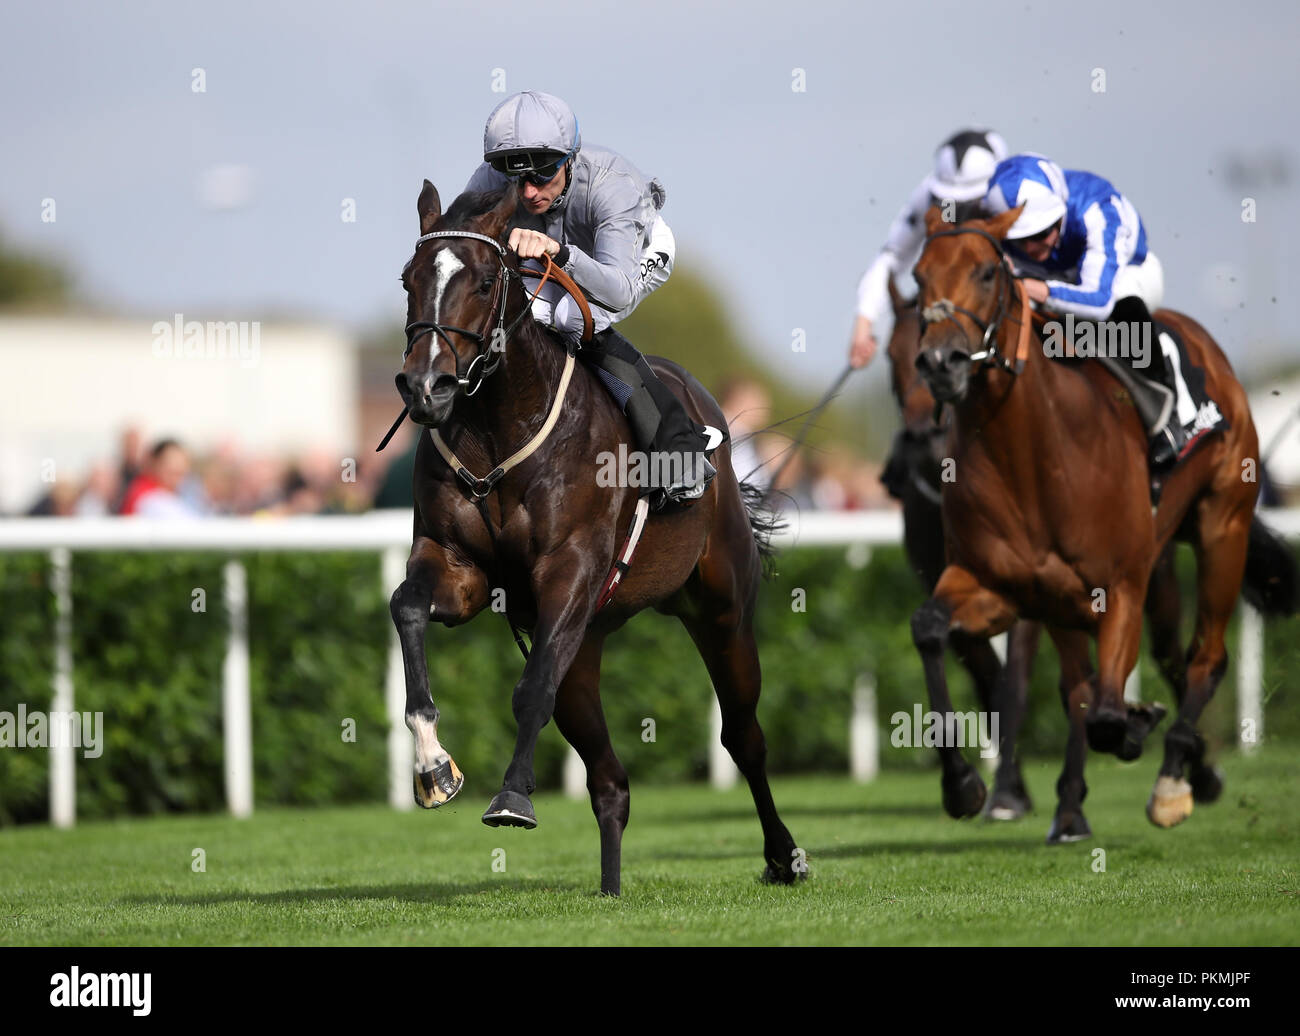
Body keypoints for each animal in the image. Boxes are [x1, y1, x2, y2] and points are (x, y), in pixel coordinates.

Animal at [384, 181, 795, 894]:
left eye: (485, 280)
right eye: (410, 280)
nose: (425, 386)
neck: (498, 430)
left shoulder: (570, 571)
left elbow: (530, 690)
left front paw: (512, 798)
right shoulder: (458, 568)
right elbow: (408, 605)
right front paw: (434, 768)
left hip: (720, 610)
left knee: (744, 736)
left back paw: (782, 854)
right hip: (588, 643)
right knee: (610, 780)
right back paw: (609, 885)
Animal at [909, 204, 1294, 842]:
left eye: (987, 272)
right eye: (918, 277)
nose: (941, 363)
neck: (1033, 454)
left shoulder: (1119, 588)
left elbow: (1109, 713)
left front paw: (1140, 730)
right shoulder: (1000, 585)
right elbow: (931, 628)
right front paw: (963, 785)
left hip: (1222, 527)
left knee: (1203, 658)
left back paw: (1172, 781)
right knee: (1107, 675)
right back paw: (1089, 802)